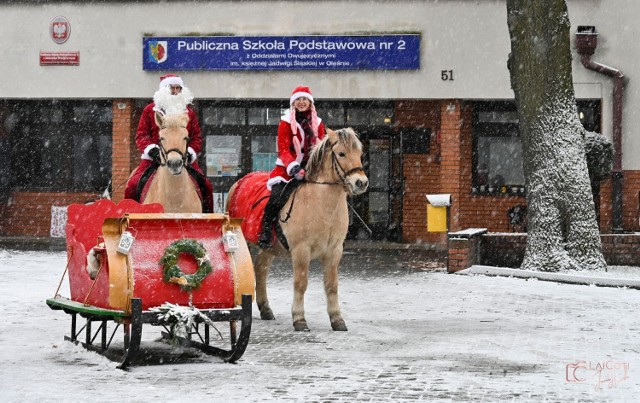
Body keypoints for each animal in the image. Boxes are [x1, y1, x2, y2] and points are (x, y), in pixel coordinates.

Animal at [226, 129, 368, 332]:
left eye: (359, 154)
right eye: (341, 153)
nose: (361, 183)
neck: (322, 203)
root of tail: (240, 181)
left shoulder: (335, 251)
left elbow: (332, 285)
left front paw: (337, 319)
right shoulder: (302, 250)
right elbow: (301, 283)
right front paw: (299, 319)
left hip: (269, 247)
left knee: (261, 269)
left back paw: (265, 309)